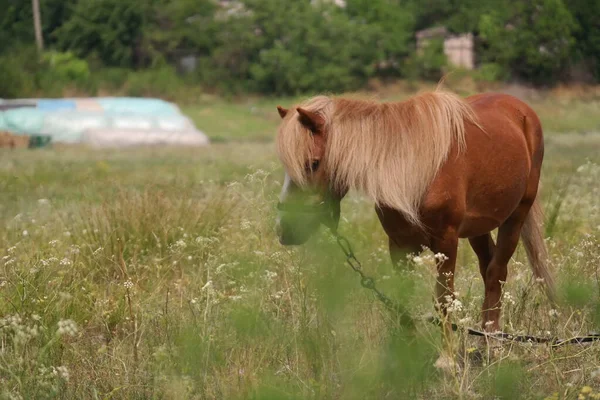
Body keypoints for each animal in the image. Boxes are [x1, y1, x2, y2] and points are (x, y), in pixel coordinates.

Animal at [274, 88, 556, 346]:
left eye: (312, 163)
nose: (285, 229)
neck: (413, 170)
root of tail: (521, 109)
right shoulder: (400, 245)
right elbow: (403, 300)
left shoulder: (446, 243)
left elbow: (443, 301)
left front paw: (447, 359)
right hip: (479, 227)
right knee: (488, 265)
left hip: (516, 216)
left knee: (497, 271)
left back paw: (491, 342)